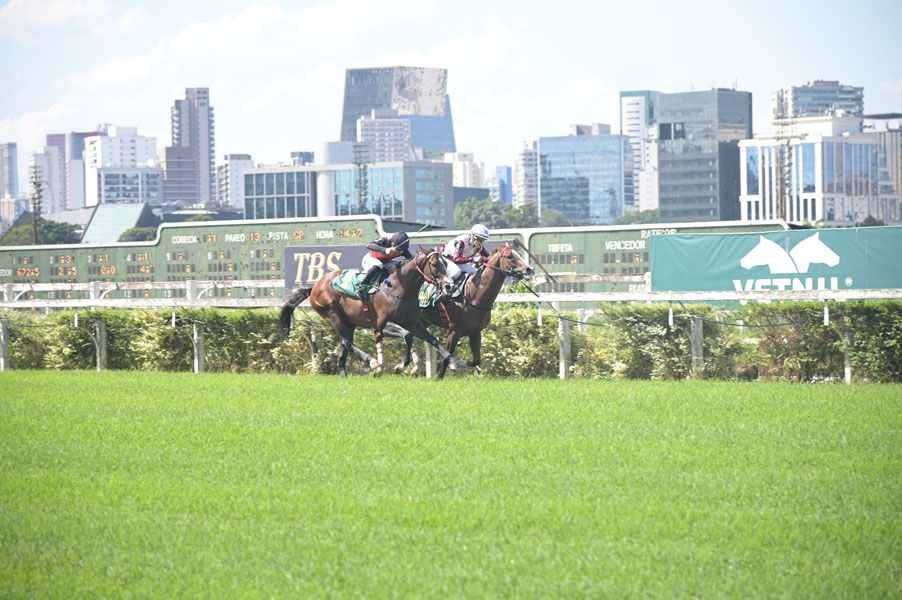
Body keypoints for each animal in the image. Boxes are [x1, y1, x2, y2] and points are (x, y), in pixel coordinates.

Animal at [278, 248, 460, 378]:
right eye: (435, 264)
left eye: (445, 263)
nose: (449, 286)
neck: (398, 288)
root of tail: (315, 287)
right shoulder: (381, 325)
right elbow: (407, 336)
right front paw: (400, 365)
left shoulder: (412, 322)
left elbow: (431, 338)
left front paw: (451, 360)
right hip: (333, 315)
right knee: (346, 343)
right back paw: (372, 362)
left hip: (348, 323)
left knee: (342, 352)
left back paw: (345, 375)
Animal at [386, 242, 533, 378]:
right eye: (509, 256)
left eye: (518, 253)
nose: (529, 269)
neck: (473, 295)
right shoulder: (454, 331)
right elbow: (447, 358)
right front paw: (446, 371)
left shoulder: (475, 332)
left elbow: (476, 360)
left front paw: (459, 363)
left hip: (420, 320)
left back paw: (408, 366)